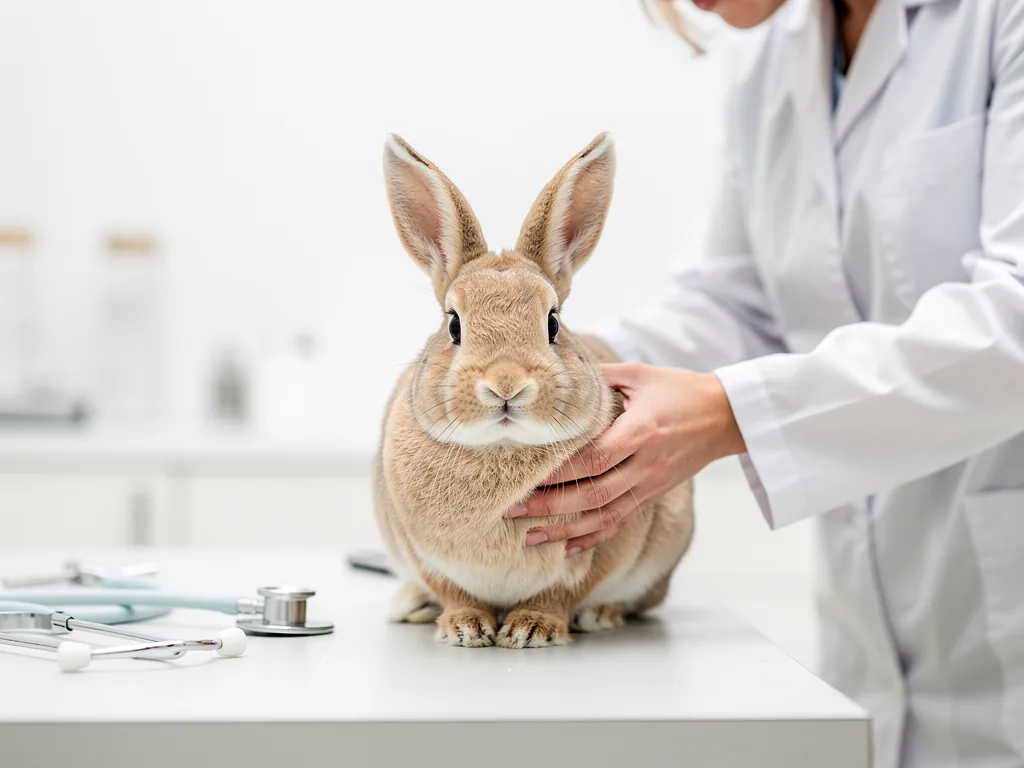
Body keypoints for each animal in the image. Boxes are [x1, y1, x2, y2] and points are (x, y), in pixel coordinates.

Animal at [373, 132, 694, 648]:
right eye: (454, 325)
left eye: (553, 322)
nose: (506, 386)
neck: (501, 447)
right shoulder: (422, 552)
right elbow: (450, 589)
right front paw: (464, 627)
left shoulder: (597, 547)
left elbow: (563, 591)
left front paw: (532, 630)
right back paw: (412, 604)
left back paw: (600, 614)